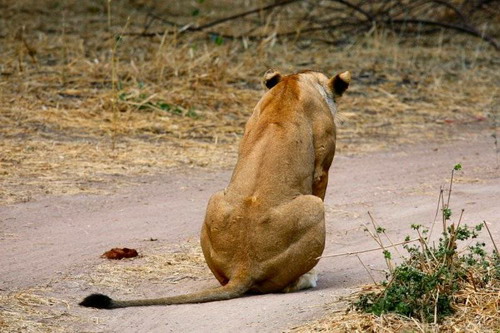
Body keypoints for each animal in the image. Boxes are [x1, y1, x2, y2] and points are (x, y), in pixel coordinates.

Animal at [79, 68, 352, 308]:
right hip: (313, 207)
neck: (291, 84)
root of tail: (244, 266)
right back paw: (308, 278)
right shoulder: (321, 169)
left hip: (214, 199)